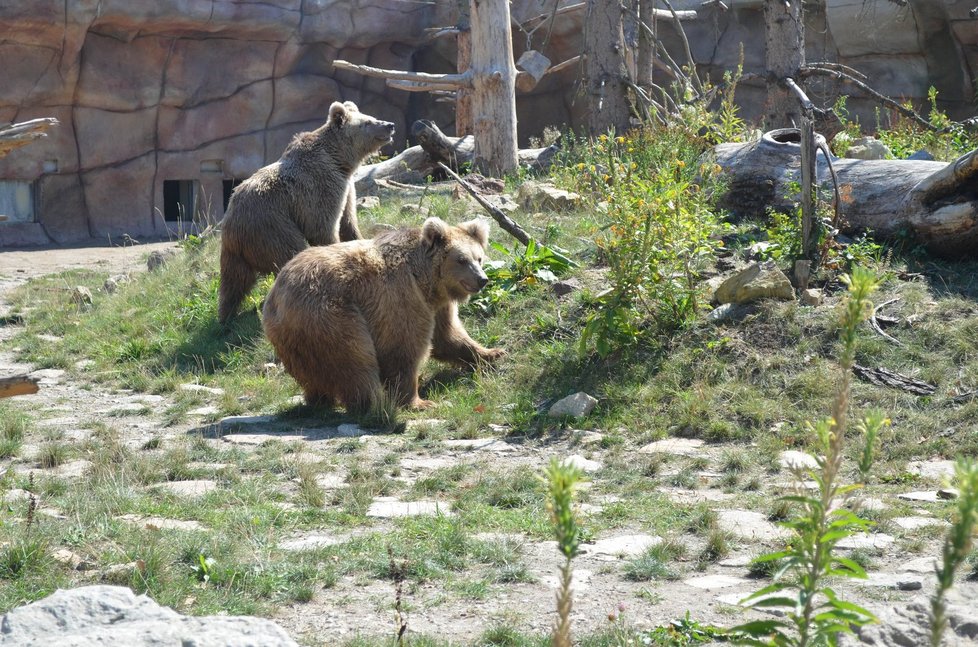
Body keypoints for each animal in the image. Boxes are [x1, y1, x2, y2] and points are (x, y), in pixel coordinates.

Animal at [217, 100, 392, 322]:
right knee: (289, 252)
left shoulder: (346, 188)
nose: (390, 125)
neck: (340, 160)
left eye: (371, 116)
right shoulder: (320, 186)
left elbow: (348, 222)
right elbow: (323, 226)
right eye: (367, 122)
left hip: (236, 252)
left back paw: (226, 318)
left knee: (233, 283)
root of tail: (231, 227)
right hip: (272, 227)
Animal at [260, 215, 504, 412]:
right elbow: (403, 347)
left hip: (294, 338)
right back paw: (373, 402)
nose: (482, 279)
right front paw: (418, 401)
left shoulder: (437, 306)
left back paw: (319, 399)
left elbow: (448, 336)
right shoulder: (399, 296)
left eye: (479, 257)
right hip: (329, 314)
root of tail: (276, 297)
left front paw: (492, 353)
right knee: (354, 357)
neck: (427, 281)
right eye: (461, 260)